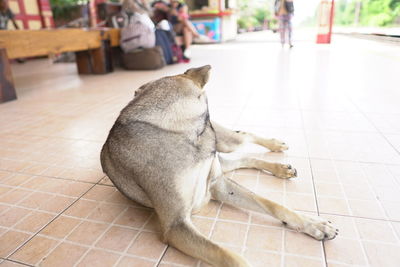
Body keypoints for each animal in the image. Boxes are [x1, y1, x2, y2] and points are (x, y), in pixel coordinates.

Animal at [101, 65, 338, 267]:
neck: (171, 128)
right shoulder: (176, 224)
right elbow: (226, 254)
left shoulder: (218, 184)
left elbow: (273, 205)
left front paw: (314, 224)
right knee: (242, 157)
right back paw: (280, 168)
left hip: (225, 142)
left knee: (244, 136)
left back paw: (276, 147)